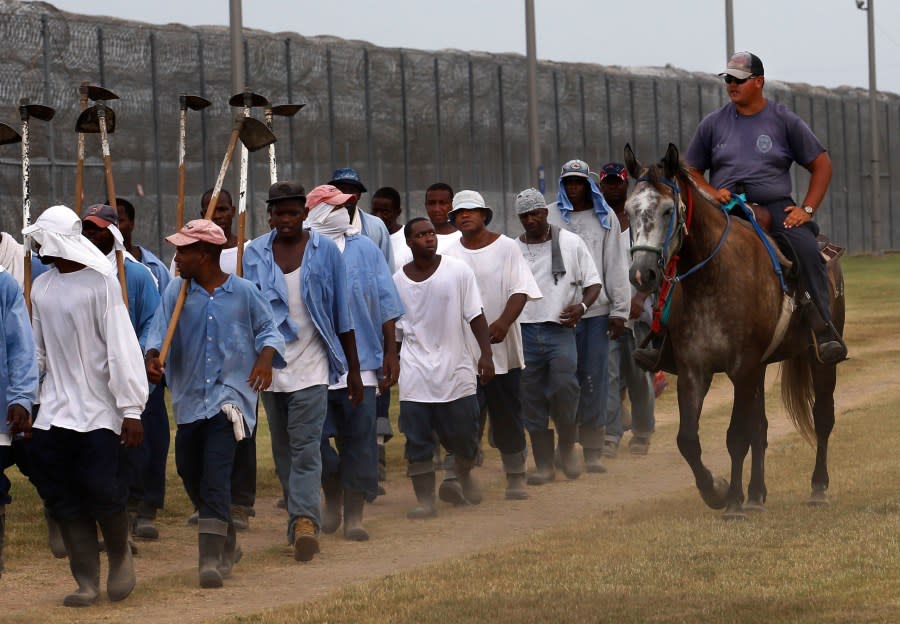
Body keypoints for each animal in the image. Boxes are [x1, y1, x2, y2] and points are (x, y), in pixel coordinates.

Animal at [624, 144, 844, 520]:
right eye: (628, 211)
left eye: (668, 210)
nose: (642, 274)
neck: (712, 277)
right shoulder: (695, 370)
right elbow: (689, 439)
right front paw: (717, 490)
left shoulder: (742, 367)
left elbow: (736, 436)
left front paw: (732, 503)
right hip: (761, 368)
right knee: (761, 428)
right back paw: (756, 494)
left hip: (818, 359)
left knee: (823, 418)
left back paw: (817, 488)